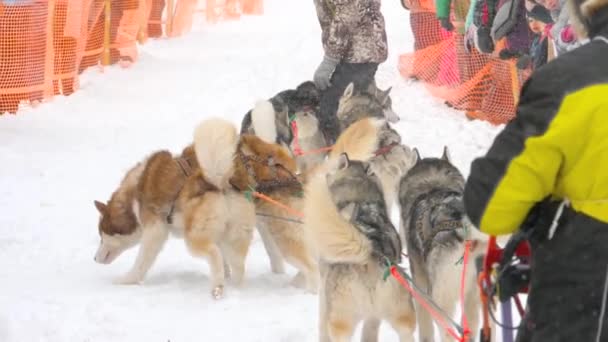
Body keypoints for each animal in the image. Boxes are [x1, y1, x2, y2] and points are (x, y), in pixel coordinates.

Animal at [304, 154, 418, 340]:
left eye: (335, 167)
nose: (327, 174)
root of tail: (370, 256)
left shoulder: (323, 287)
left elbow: (321, 324)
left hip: (341, 322)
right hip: (402, 318)